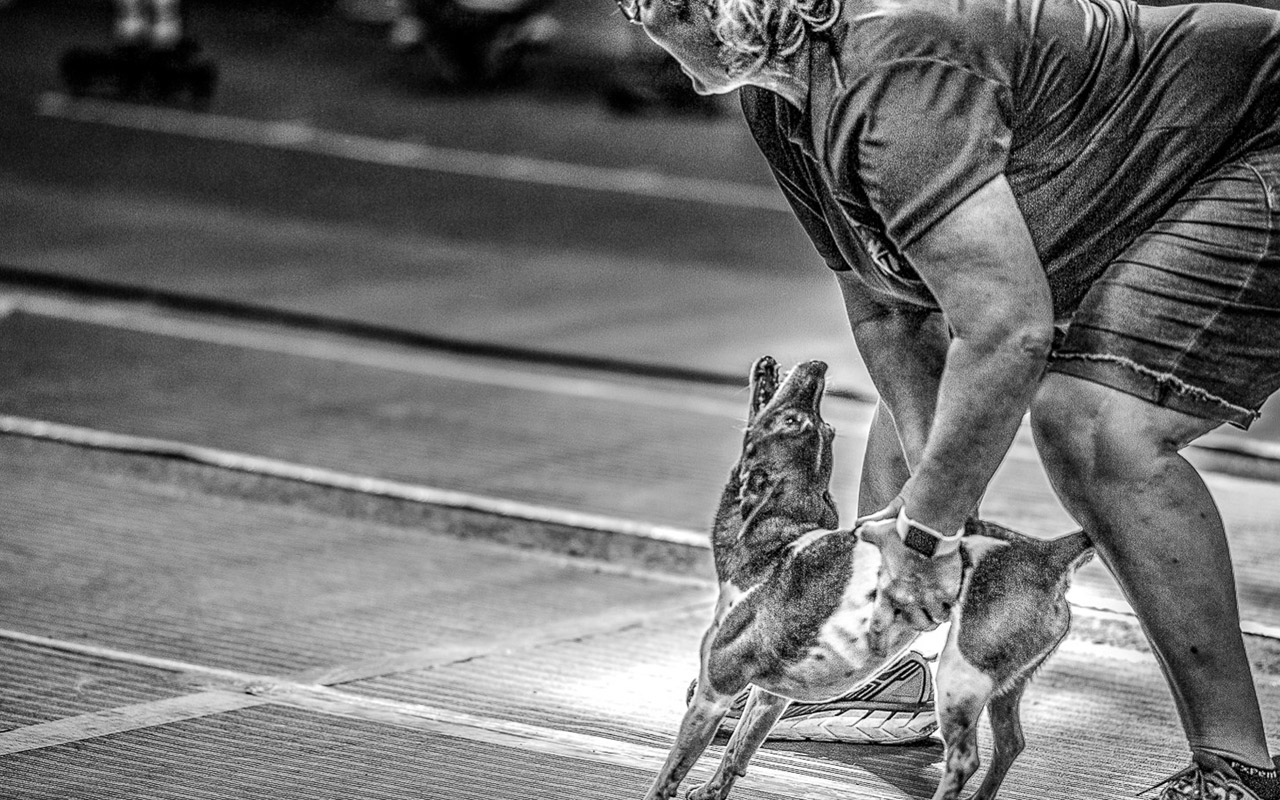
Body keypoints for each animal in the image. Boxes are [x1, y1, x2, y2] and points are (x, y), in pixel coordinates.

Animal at [645, 355, 1095, 798]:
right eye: (818, 426)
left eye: (795, 421)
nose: (817, 367)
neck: (779, 539)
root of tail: (1047, 554)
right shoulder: (768, 698)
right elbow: (738, 751)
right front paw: (712, 790)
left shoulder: (713, 696)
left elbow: (669, 775)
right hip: (1007, 685)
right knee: (1010, 745)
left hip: (960, 677)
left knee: (965, 760)